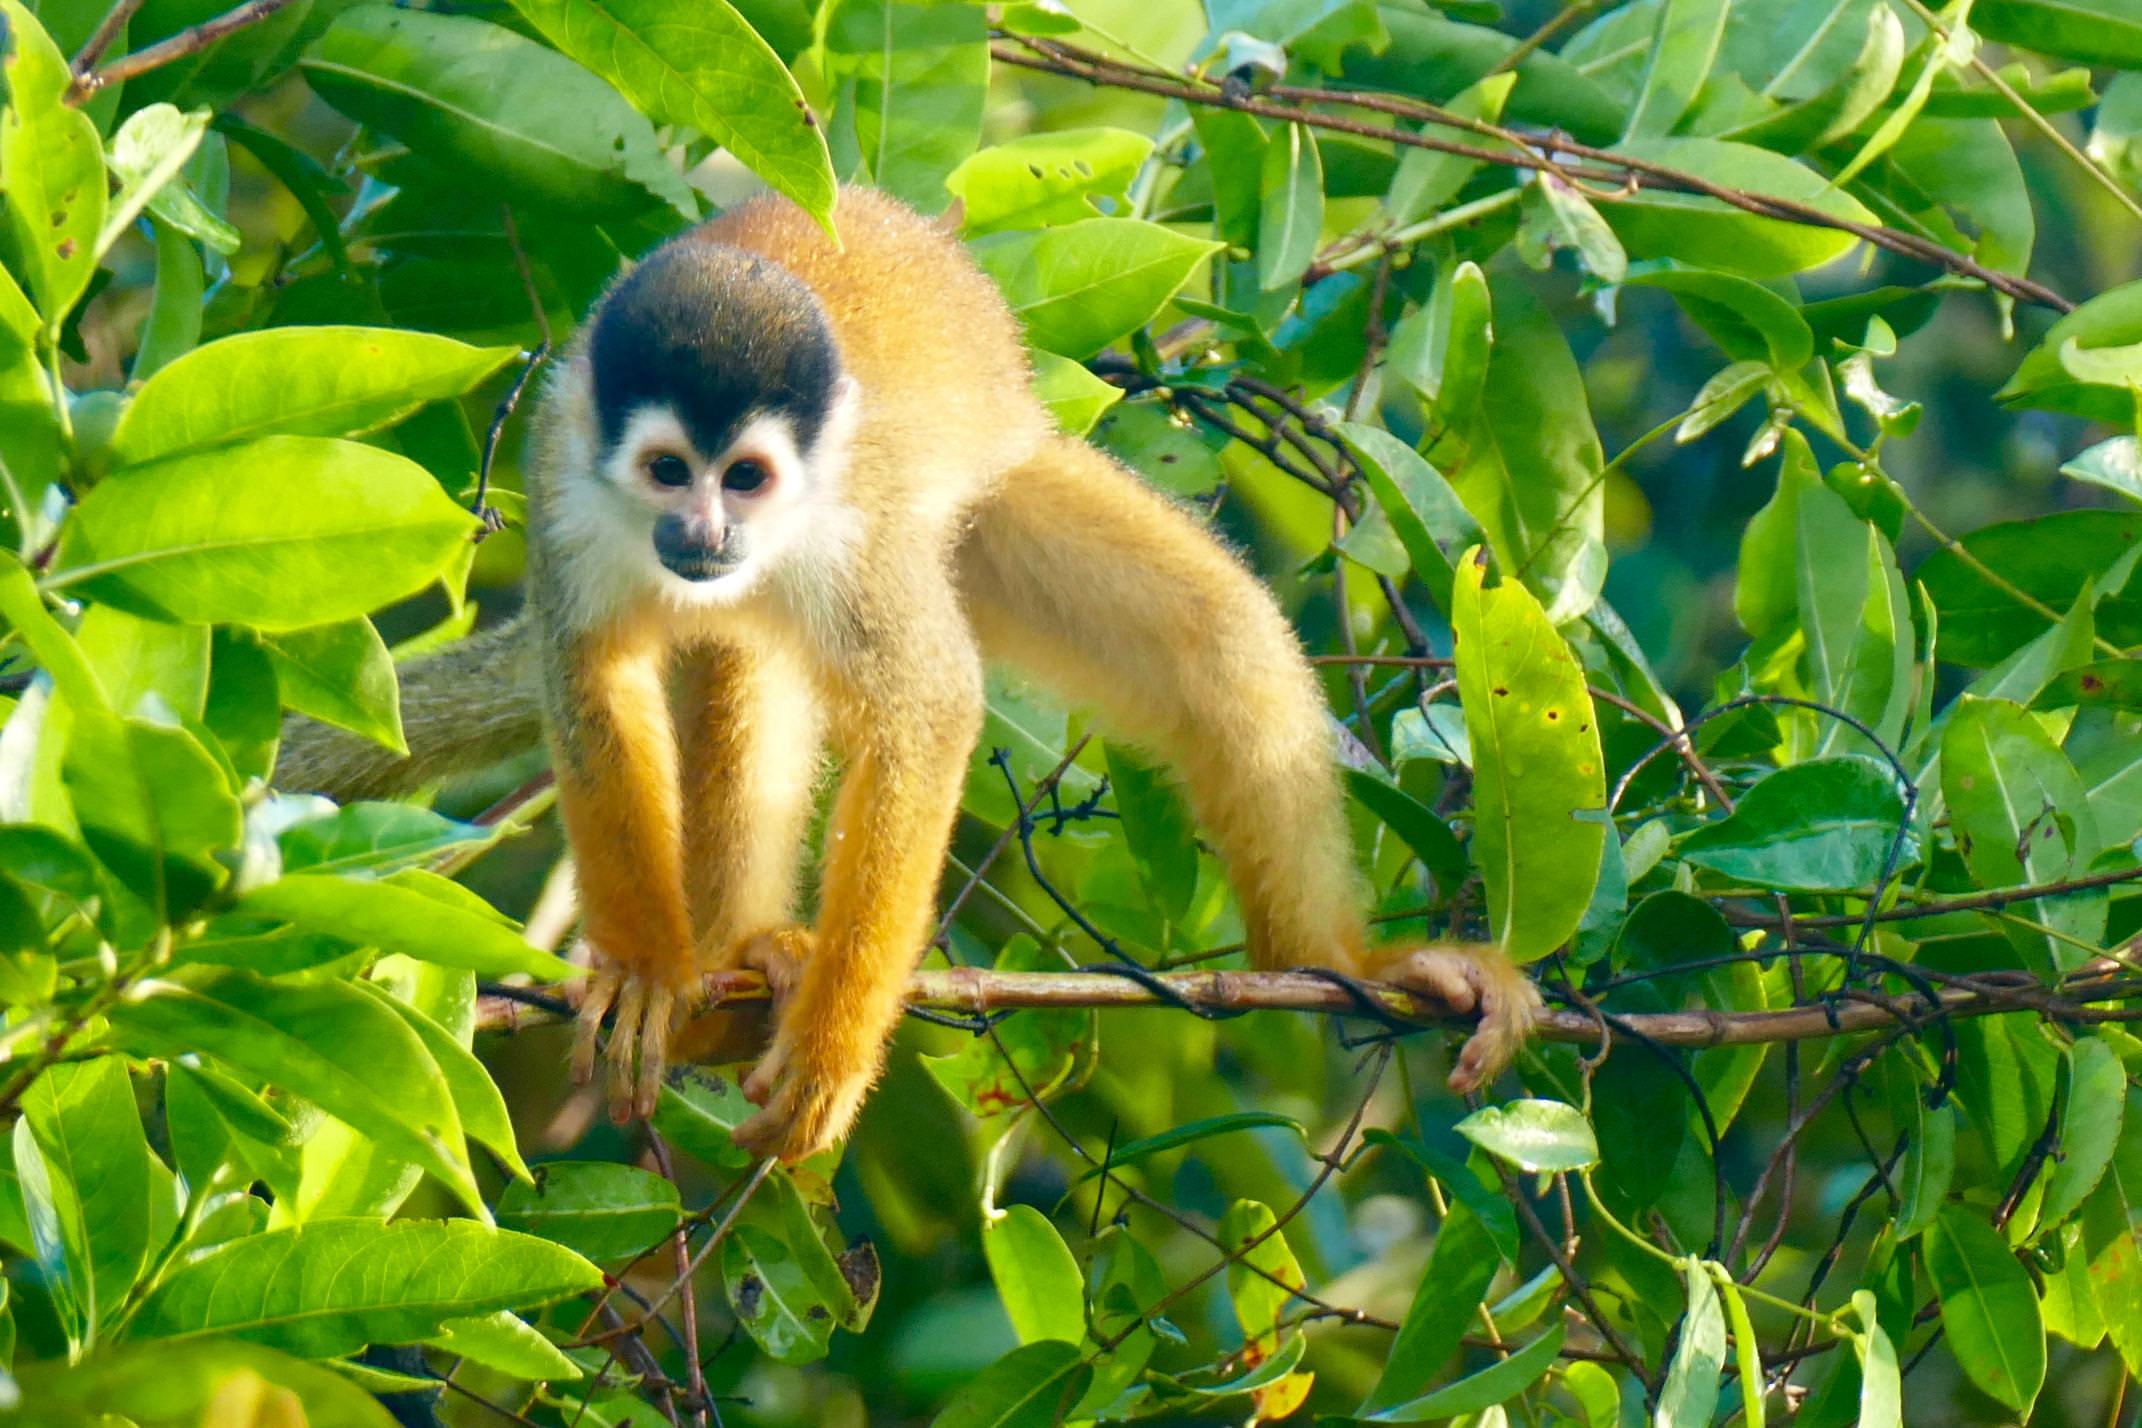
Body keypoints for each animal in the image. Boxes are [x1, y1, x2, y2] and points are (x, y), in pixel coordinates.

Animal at [276, 187, 1533, 1164]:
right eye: (670, 470)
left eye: (745, 477)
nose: (704, 534)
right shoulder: (557, 468)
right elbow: (589, 676)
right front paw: (642, 971)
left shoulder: (857, 525)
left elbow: (927, 709)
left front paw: (831, 1054)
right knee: (740, 659)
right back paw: (733, 965)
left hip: (982, 510)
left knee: (1212, 635)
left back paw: (1331, 961)